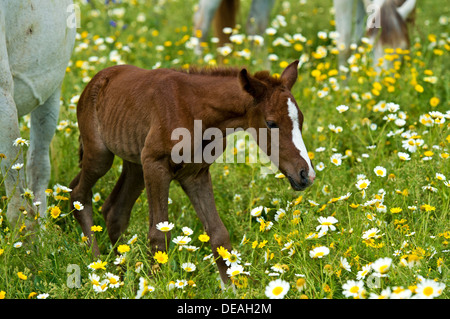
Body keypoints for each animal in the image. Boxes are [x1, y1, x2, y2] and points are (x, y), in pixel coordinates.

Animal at [70, 60, 314, 282]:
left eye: (301, 120)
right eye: (271, 123)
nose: (306, 174)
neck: (196, 111)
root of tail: (95, 81)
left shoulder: (195, 175)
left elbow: (219, 234)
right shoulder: (156, 165)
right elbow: (159, 235)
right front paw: (156, 286)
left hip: (136, 165)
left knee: (115, 211)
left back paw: (121, 274)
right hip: (101, 156)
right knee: (78, 194)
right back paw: (98, 268)